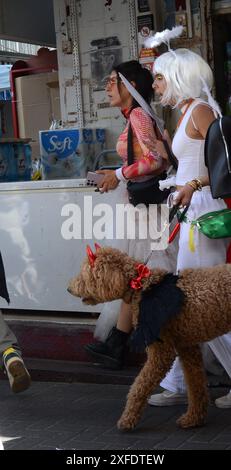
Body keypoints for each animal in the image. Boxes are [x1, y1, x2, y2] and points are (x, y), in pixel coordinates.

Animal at [68, 244, 231, 432]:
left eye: (86, 273)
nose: (69, 288)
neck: (141, 286)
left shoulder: (161, 351)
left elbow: (140, 385)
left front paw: (127, 420)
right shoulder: (187, 346)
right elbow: (195, 384)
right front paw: (193, 419)